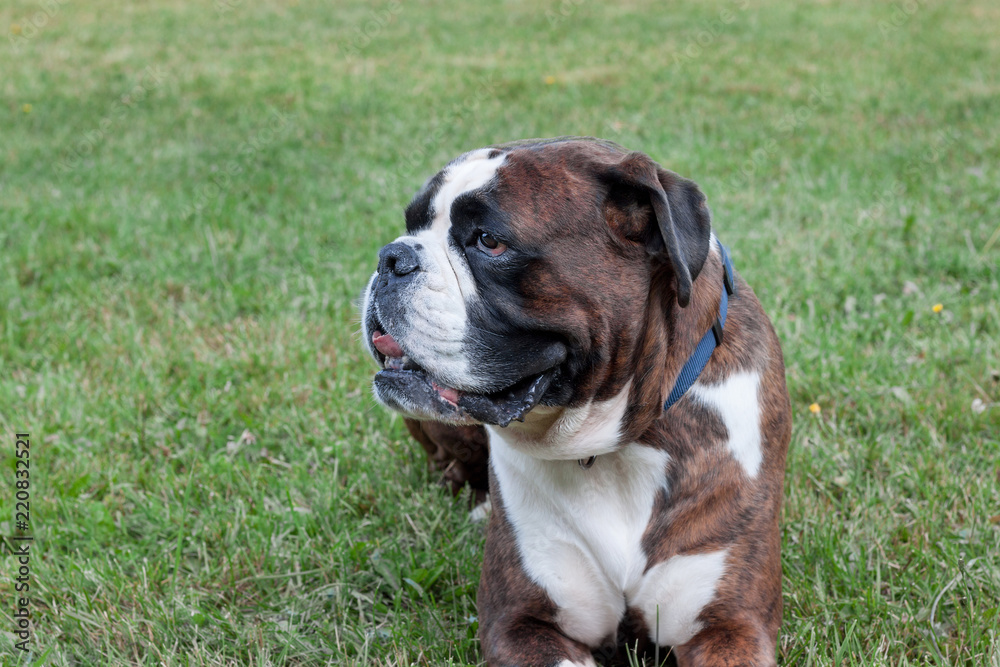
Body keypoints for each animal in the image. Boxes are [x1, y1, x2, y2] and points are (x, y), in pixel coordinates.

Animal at [360, 138, 788, 664]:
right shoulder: (520, 622)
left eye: (489, 241)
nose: (391, 257)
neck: (613, 444)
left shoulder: (730, 625)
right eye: (411, 225)